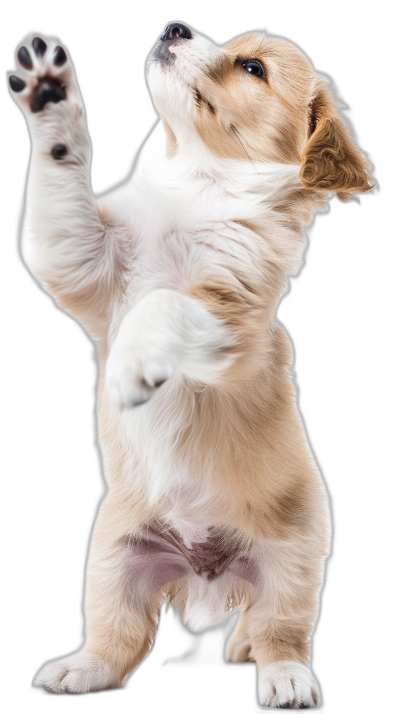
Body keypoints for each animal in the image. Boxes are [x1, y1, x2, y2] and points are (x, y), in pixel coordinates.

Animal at [7, 22, 374, 708]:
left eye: (252, 66)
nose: (174, 27)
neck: (197, 190)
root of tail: (207, 577)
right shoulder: (81, 258)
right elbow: (64, 186)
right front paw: (50, 93)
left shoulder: (231, 327)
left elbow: (167, 302)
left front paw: (133, 368)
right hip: (114, 558)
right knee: (120, 637)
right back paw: (79, 670)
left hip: (293, 565)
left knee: (278, 629)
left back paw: (284, 677)